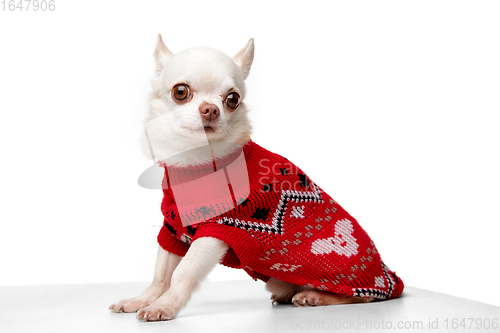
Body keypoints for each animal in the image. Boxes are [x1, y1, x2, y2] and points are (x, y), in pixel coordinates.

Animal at [108, 35, 402, 320]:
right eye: (180, 92)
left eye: (232, 99)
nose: (211, 109)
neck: (196, 161)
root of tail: (390, 276)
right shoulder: (173, 228)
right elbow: (162, 272)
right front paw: (142, 300)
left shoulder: (217, 231)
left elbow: (183, 272)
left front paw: (165, 306)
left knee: (364, 296)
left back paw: (316, 296)